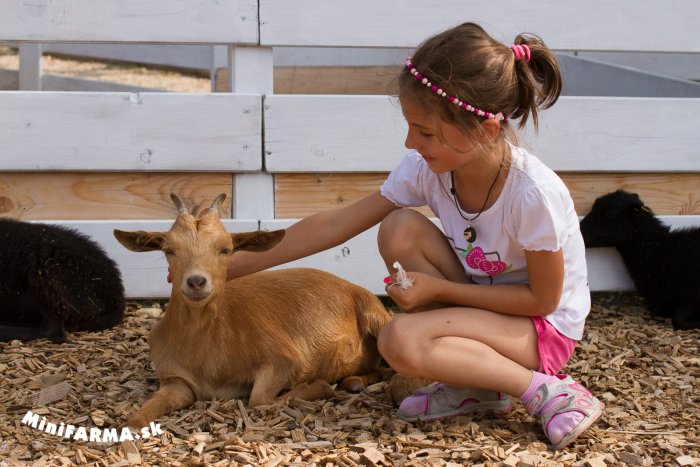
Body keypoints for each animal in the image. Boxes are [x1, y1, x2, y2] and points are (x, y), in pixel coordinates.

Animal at [114, 195, 416, 432]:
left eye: (226, 249)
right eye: (169, 249)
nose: (197, 282)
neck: (207, 354)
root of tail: (352, 287)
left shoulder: (285, 359)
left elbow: (259, 399)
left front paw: (319, 387)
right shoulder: (177, 380)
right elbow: (149, 407)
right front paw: (128, 428)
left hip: (375, 313)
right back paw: (355, 381)